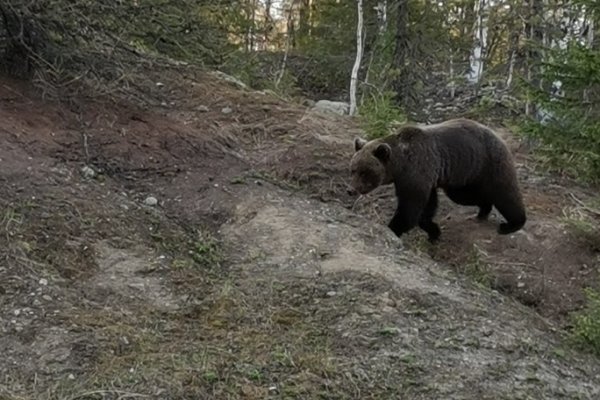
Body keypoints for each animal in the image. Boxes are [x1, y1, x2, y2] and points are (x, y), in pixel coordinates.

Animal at [350, 117, 528, 242]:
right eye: (353, 170)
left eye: (364, 172)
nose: (351, 190)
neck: (399, 165)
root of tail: (497, 135)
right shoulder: (425, 178)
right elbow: (427, 207)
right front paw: (433, 232)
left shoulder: (416, 171)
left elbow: (410, 208)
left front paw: (393, 228)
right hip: (463, 174)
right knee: (466, 196)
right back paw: (483, 210)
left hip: (489, 162)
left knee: (504, 192)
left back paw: (511, 224)